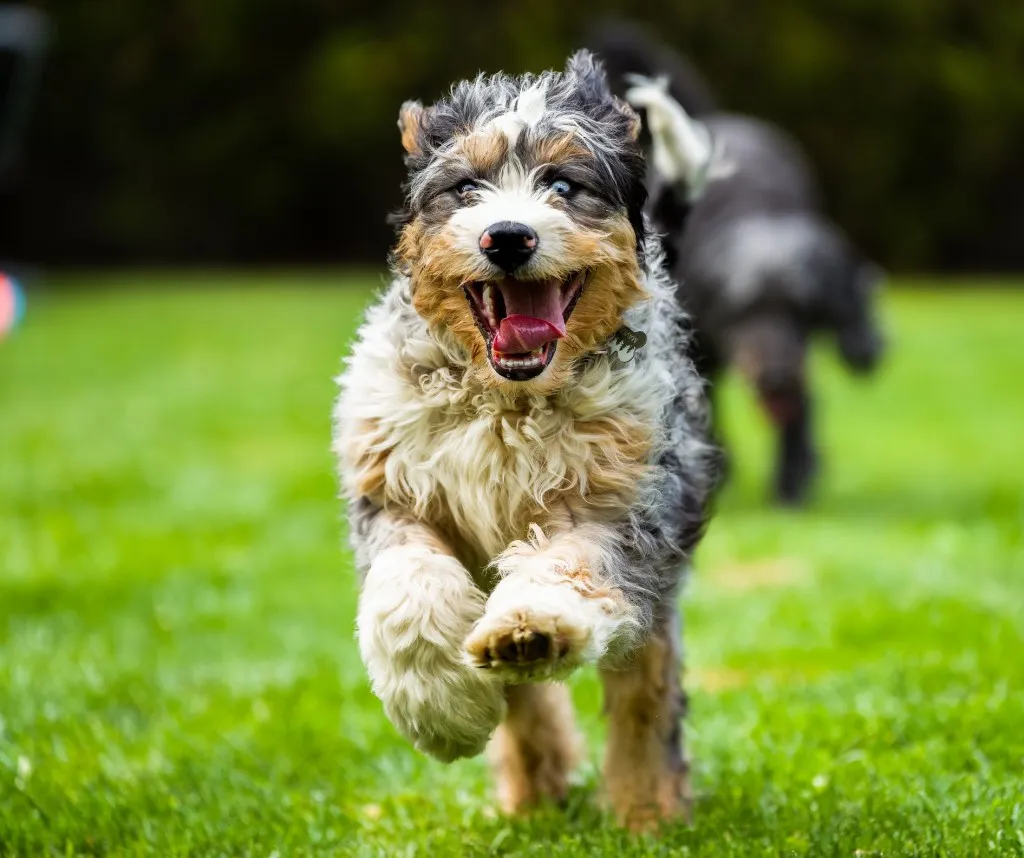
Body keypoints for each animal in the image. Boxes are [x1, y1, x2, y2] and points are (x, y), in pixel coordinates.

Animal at [331, 50, 716, 831]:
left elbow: (571, 563)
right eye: (465, 188)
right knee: (528, 700)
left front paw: (532, 625)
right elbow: (406, 587)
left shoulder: (623, 501)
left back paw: (645, 809)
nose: (506, 236)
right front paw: (440, 710)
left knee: (646, 689)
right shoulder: (391, 490)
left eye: (564, 186)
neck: (506, 400)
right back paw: (533, 794)